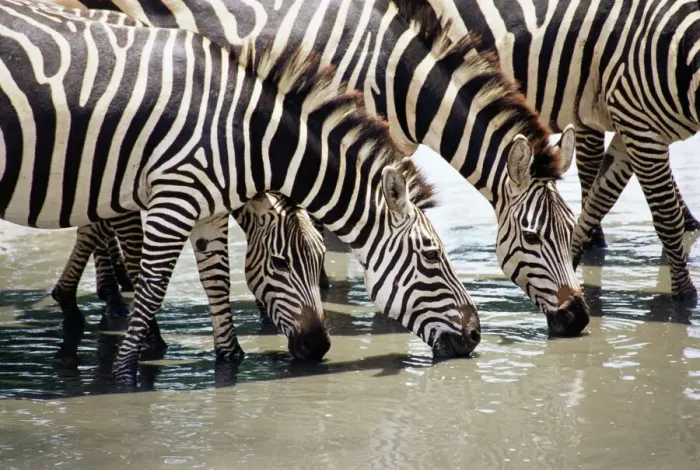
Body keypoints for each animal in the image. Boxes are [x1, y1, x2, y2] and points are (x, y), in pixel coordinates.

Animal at [0, 0, 480, 383]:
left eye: (319, 261)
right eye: (431, 256)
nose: (476, 333)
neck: (245, 135)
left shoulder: (208, 207)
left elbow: (216, 280)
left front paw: (230, 361)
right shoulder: (173, 197)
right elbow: (153, 284)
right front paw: (124, 374)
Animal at [426, 0, 699, 300]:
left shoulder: (630, 123)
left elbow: (598, 199)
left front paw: (574, 259)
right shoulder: (637, 120)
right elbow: (666, 217)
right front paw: (686, 296)